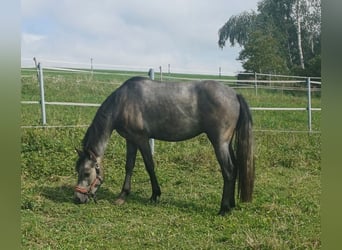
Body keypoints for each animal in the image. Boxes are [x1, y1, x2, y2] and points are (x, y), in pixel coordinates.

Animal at [75, 76, 256, 215]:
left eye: (86, 173)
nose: (77, 198)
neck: (124, 101)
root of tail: (234, 94)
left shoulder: (141, 139)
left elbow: (149, 165)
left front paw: (155, 195)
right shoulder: (131, 140)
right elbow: (129, 166)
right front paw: (122, 196)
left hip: (219, 143)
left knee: (229, 170)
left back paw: (224, 209)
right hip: (227, 143)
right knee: (236, 167)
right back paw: (231, 204)